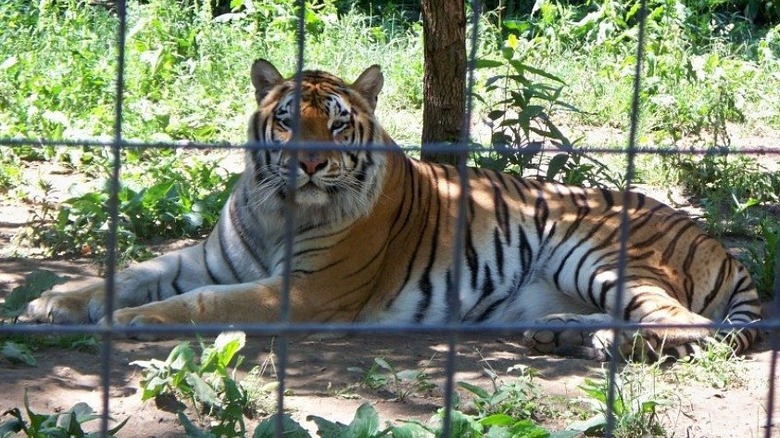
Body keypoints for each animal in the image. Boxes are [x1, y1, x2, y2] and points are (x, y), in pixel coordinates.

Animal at [26, 59, 761, 360]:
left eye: (337, 123)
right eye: (287, 121)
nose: (310, 164)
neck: (276, 208)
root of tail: (715, 241)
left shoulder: (307, 291)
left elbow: (198, 303)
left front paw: (128, 321)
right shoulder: (211, 258)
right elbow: (137, 271)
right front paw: (53, 301)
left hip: (599, 251)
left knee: (692, 327)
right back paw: (563, 335)